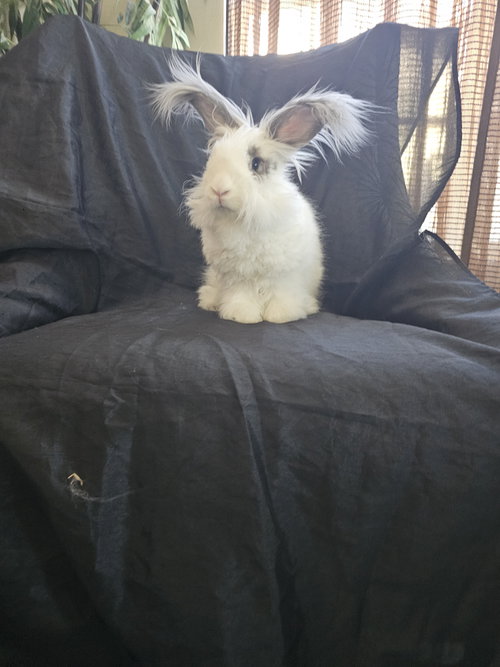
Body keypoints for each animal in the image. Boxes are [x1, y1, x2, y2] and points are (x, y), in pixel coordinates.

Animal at [151, 56, 373, 324]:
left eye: (256, 164)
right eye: (211, 160)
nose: (219, 190)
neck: (246, 222)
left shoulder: (284, 276)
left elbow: (281, 296)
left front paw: (281, 315)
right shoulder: (237, 276)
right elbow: (241, 296)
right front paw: (241, 315)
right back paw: (211, 302)